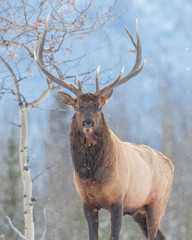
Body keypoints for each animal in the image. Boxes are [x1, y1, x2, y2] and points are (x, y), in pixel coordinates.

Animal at [34, 15, 174, 239]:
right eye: (77, 107)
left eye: (99, 108)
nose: (88, 122)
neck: (92, 176)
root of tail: (170, 164)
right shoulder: (87, 202)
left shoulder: (119, 200)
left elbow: (114, 235)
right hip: (138, 211)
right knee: (161, 235)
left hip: (157, 204)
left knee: (155, 235)